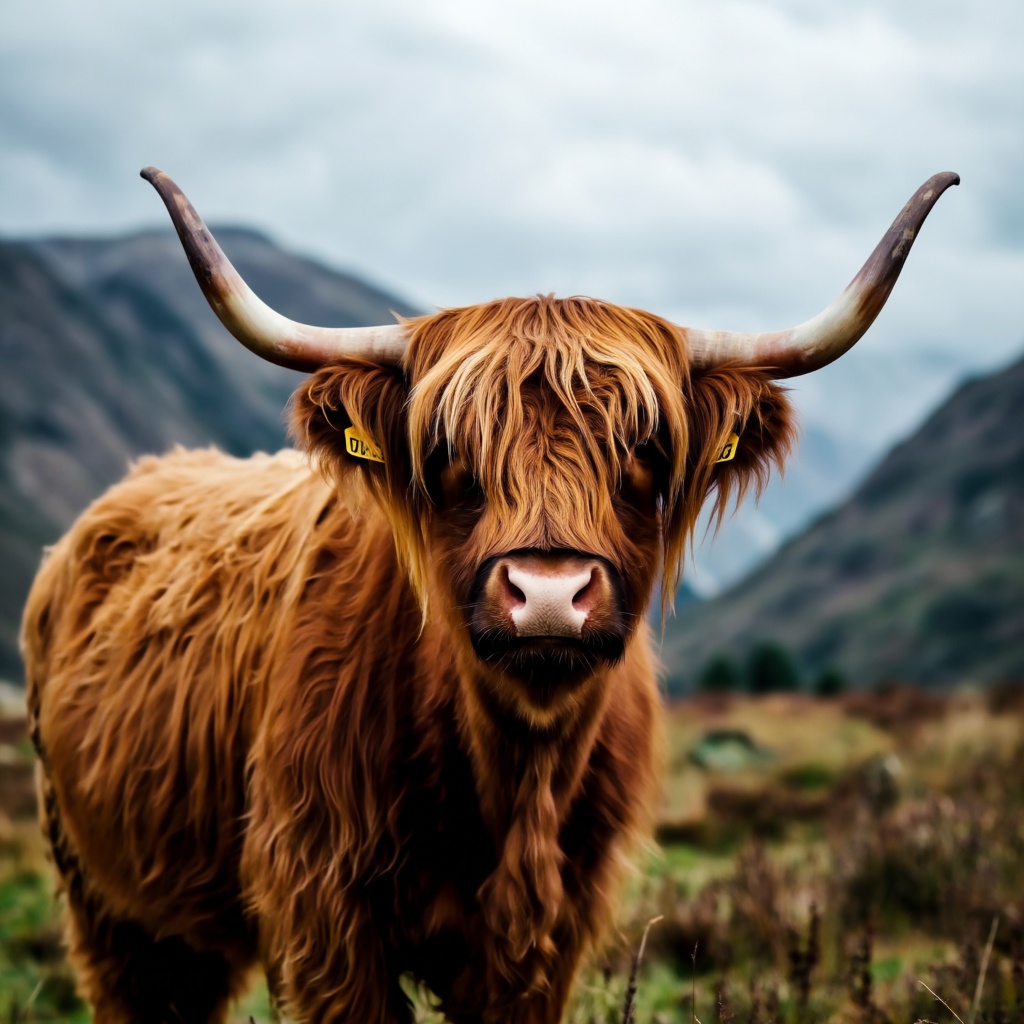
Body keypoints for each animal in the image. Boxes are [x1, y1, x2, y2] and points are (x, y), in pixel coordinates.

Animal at [21, 168, 957, 1024]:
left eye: (646, 447)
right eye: (444, 451)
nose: (547, 594)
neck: (516, 775)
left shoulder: (551, 937)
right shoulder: (324, 916)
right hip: (107, 900)